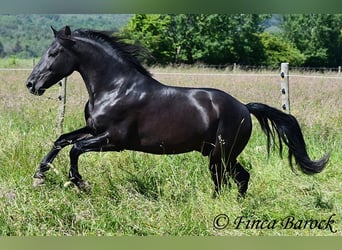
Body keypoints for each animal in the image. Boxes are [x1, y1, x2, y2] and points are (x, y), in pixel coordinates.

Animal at [25, 25, 328, 197]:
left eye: (53, 53)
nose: (31, 84)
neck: (115, 87)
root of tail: (244, 107)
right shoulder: (93, 130)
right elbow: (61, 140)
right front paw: (39, 177)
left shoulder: (113, 140)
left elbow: (75, 149)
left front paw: (80, 184)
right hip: (223, 155)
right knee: (241, 178)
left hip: (220, 155)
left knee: (226, 181)